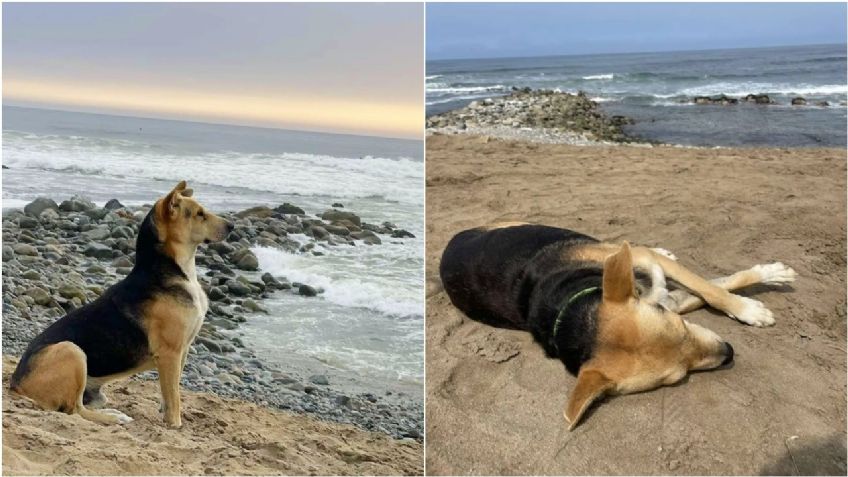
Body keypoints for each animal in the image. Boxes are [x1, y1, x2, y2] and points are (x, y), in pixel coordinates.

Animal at [10, 180, 235, 426]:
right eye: (199, 214)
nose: (232, 226)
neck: (173, 269)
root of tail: (15, 385)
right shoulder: (170, 353)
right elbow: (174, 396)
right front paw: (175, 424)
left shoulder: (181, 351)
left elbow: (169, 392)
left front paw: (166, 414)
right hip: (72, 350)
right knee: (74, 410)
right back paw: (114, 418)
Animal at [440, 222, 800, 428]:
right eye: (676, 378)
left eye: (682, 328)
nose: (729, 352)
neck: (572, 306)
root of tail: (452, 240)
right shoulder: (668, 299)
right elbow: (712, 288)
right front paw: (750, 300)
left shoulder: (659, 290)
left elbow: (713, 288)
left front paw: (754, 299)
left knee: (638, 248)